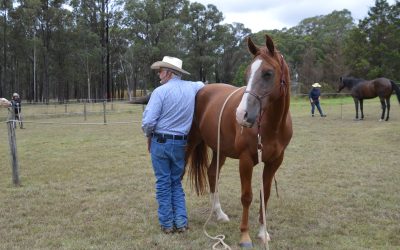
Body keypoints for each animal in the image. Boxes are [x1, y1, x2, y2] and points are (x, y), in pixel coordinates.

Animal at [186, 35, 292, 248]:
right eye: (247, 73)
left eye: (268, 73)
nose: (241, 114)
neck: (272, 125)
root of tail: (202, 89)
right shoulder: (246, 160)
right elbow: (247, 196)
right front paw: (245, 236)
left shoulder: (274, 162)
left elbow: (265, 195)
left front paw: (263, 233)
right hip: (191, 142)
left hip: (220, 150)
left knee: (212, 174)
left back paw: (219, 214)